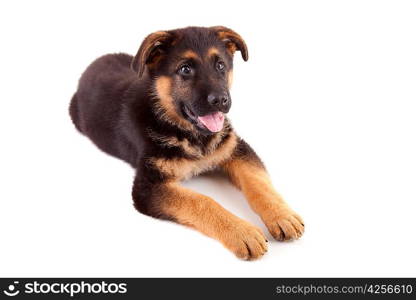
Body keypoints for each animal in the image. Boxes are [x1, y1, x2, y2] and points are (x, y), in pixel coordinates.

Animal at [67, 26, 302, 260]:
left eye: (220, 65)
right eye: (185, 69)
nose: (221, 100)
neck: (191, 134)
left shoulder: (236, 148)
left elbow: (258, 183)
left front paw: (282, 215)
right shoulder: (148, 186)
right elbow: (202, 201)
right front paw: (241, 232)